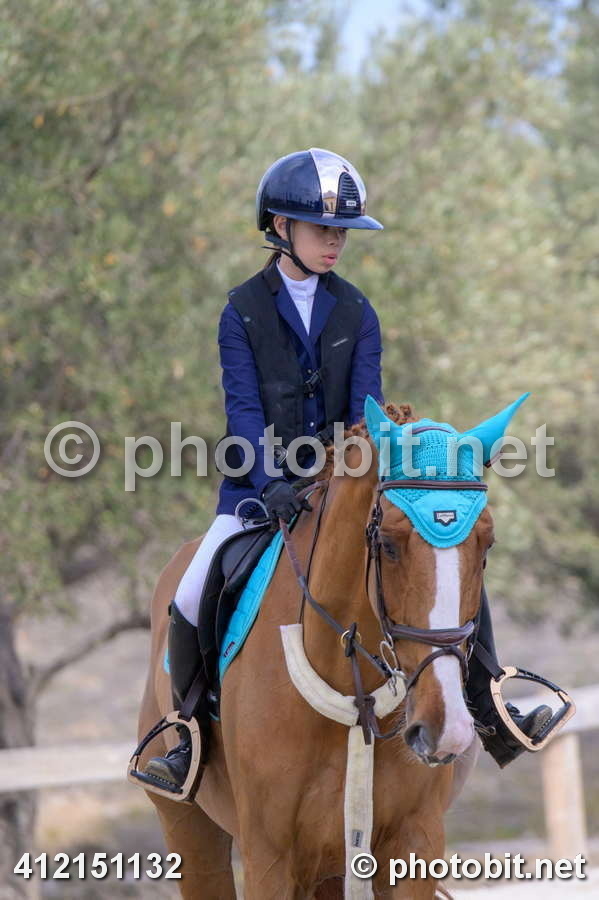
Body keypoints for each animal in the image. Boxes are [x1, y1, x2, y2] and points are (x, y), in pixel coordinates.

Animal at [134, 395, 526, 899]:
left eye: (486, 544)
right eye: (388, 544)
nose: (445, 730)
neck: (349, 688)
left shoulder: (414, 842)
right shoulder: (269, 858)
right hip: (189, 827)